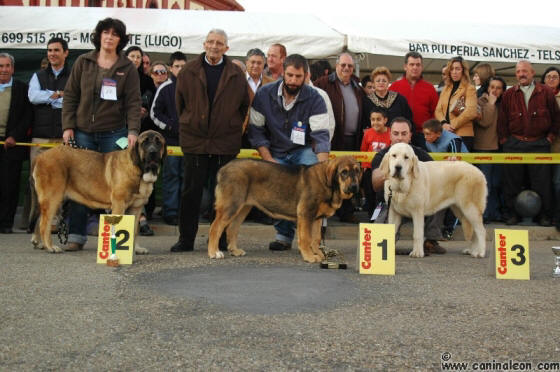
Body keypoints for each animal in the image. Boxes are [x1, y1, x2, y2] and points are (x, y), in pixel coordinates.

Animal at [30, 129, 166, 254]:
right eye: (144, 143)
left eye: (158, 142)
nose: (153, 152)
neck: (139, 170)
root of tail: (40, 157)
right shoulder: (119, 204)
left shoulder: (136, 208)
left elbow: (134, 230)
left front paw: (135, 249)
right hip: (53, 198)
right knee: (44, 224)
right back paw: (50, 247)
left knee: (40, 220)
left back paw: (39, 243)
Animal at [208, 155, 360, 264]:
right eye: (344, 172)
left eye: (357, 171)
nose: (354, 187)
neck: (328, 184)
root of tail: (223, 168)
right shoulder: (305, 214)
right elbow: (306, 238)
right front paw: (309, 256)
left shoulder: (317, 218)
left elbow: (316, 239)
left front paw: (318, 254)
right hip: (231, 205)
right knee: (215, 227)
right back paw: (214, 252)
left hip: (243, 207)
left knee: (232, 228)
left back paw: (234, 250)